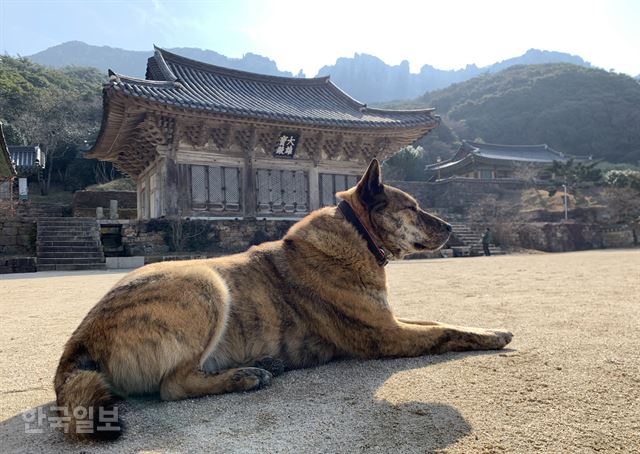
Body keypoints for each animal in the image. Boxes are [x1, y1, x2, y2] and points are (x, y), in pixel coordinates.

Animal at [56, 159, 516, 440]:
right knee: (173, 386)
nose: (453, 227)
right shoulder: (387, 334)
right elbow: (446, 331)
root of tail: (80, 339)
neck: (357, 236)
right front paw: (495, 334)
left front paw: (488, 326)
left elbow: (438, 319)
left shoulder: (392, 321)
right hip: (204, 280)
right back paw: (244, 377)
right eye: (413, 208)